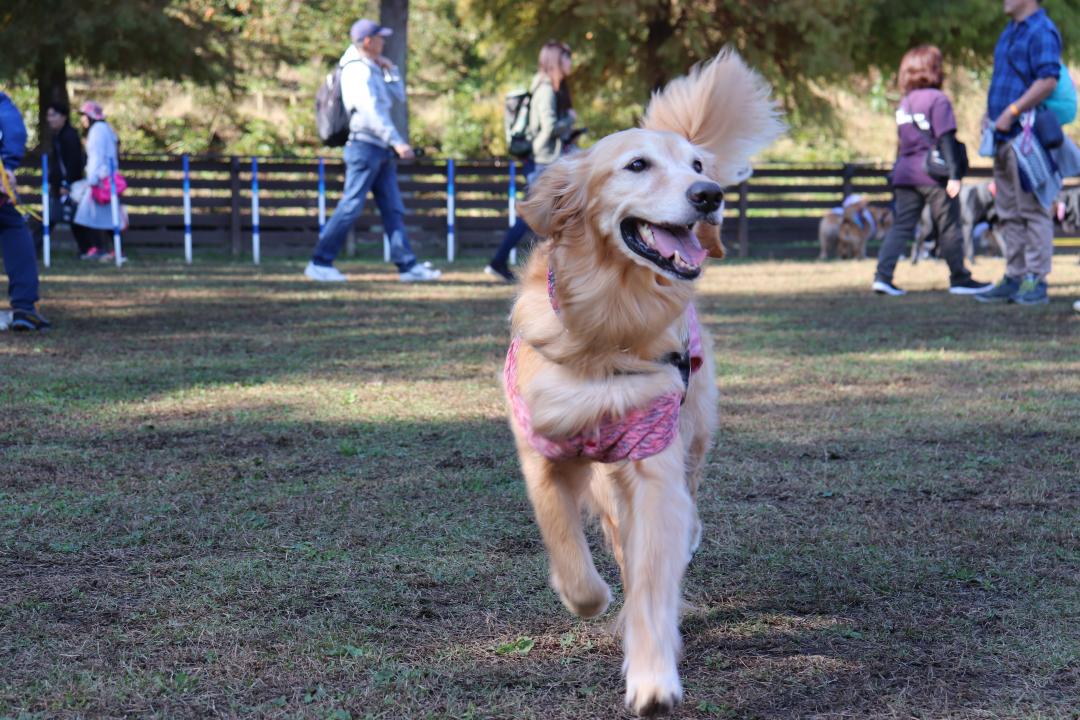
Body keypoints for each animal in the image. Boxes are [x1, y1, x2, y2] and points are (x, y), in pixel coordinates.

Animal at [501, 52, 781, 716]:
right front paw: (592, 601)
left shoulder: (652, 456)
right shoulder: (541, 448)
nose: (709, 195)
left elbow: (655, 572)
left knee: (686, 501)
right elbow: (566, 545)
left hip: (693, 430)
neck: (611, 324)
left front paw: (652, 675)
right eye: (636, 165)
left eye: (698, 166)